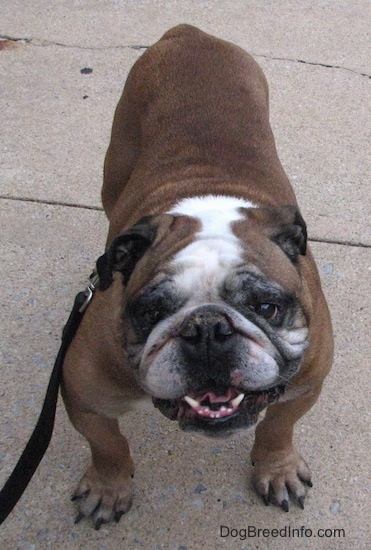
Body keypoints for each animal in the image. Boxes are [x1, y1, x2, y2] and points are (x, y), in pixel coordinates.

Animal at [61, 24, 334, 532]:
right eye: (151, 311)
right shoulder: (85, 396)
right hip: (115, 166)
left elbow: (277, 426)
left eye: (266, 307)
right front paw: (108, 486)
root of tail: (189, 32)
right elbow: (107, 444)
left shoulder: (304, 386)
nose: (208, 329)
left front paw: (277, 468)